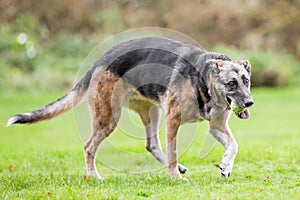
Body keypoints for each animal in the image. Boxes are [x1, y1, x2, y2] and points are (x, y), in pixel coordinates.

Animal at [7, 36, 253, 180]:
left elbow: (234, 146)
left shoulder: (216, 126)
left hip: (151, 112)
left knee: (151, 145)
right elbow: (173, 151)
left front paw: (226, 166)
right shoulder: (173, 120)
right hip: (109, 118)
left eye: (247, 81)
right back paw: (93, 176)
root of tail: (99, 60)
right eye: (232, 83)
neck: (204, 79)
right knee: (89, 147)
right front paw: (175, 176)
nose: (249, 103)